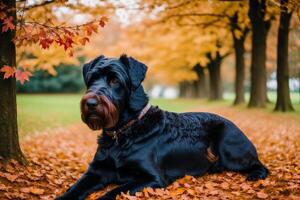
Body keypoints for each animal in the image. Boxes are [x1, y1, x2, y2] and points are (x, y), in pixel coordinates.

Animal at [56, 54, 268, 200]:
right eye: (92, 79)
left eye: (115, 80)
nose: (91, 103)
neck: (124, 131)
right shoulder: (96, 171)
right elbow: (76, 187)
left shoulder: (152, 178)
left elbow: (114, 192)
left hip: (229, 147)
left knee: (259, 164)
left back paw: (256, 173)